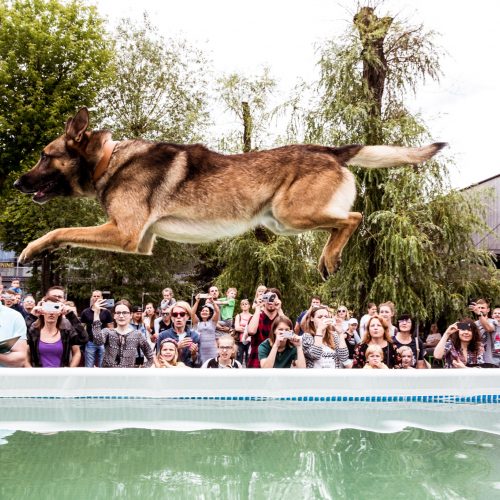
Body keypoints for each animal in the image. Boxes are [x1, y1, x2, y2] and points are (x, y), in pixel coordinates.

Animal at [14, 108, 446, 280]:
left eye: (44, 156)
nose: (17, 183)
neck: (108, 160)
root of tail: (331, 150)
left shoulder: (123, 233)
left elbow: (59, 231)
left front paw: (32, 250)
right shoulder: (140, 242)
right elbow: (67, 233)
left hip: (291, 214)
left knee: (353, 219)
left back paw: (329, 259)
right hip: (283, 222)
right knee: (347, 221)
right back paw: (329, 258)